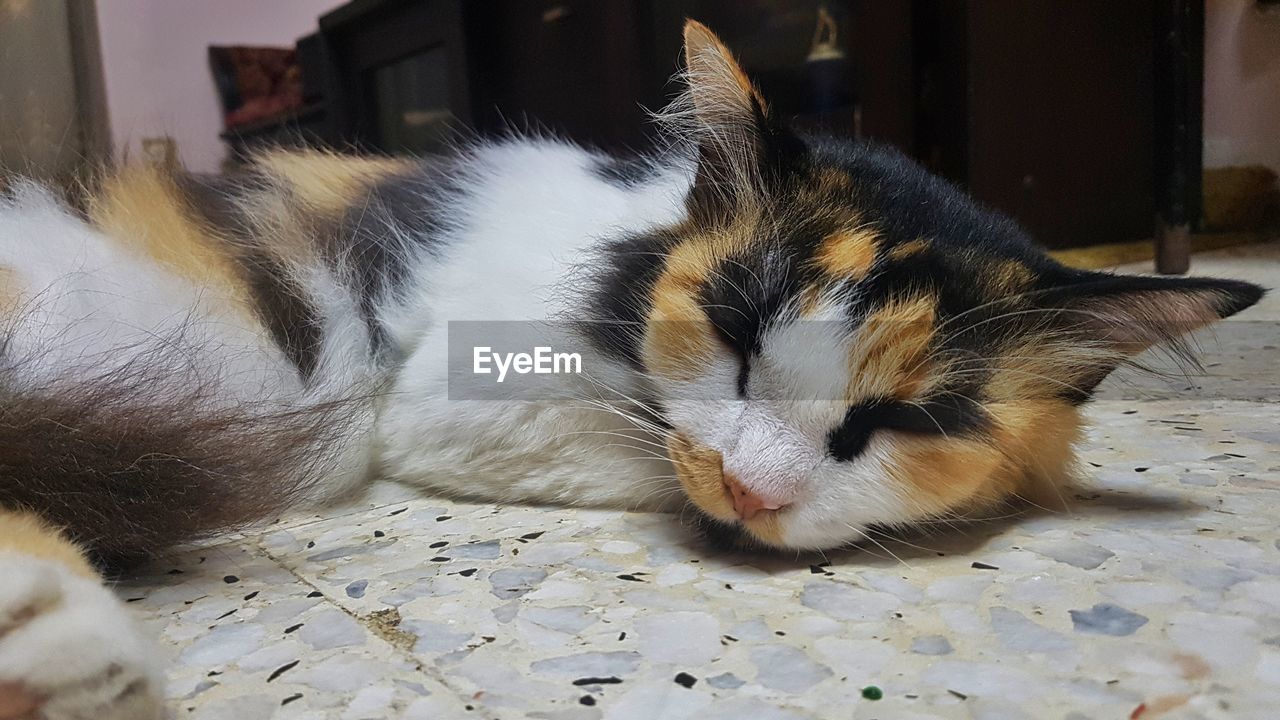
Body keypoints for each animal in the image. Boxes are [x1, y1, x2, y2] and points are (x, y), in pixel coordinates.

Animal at [0, 19, 1259, 712]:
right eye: (738, 330)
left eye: (906, 423)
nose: (752, 489)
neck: (622, 241)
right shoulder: (451, 400)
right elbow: (653, 446)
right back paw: (62, 646)